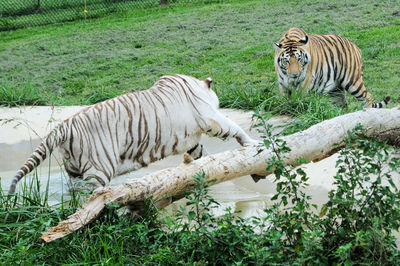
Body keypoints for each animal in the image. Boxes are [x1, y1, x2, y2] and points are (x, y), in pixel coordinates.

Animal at [10, 75, 260, 193]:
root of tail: (64, 126)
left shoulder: (191, 140)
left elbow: (200, 153)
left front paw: (208, 167)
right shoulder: (209, 118)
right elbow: (233, 127)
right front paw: (252, 142)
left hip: (73, 169)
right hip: (99, 168)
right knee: (88, 195)